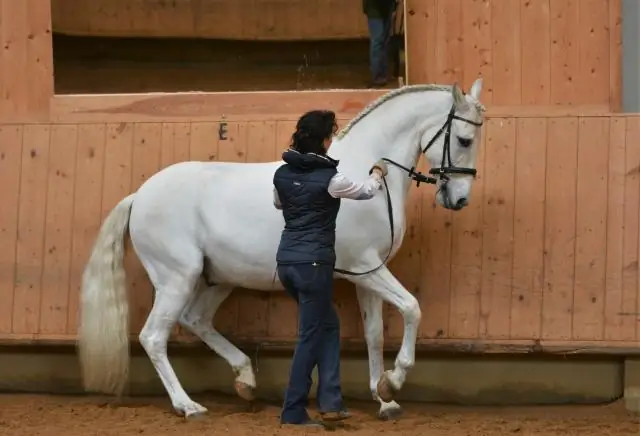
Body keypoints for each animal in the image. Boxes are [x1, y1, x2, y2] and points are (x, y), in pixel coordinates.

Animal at [79, 80, 484, 420]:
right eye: (465, 140)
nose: (460, 199)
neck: (363, 171)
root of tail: (139, 196)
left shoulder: (365, 273)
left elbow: (374, 334)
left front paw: (383, 397)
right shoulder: (367, 266)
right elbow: (412, 308)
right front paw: (395, 379)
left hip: (218, 279)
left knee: (196, 320)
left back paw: (245, 380)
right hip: (177, 278)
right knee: (153, 337)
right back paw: (188, 406)